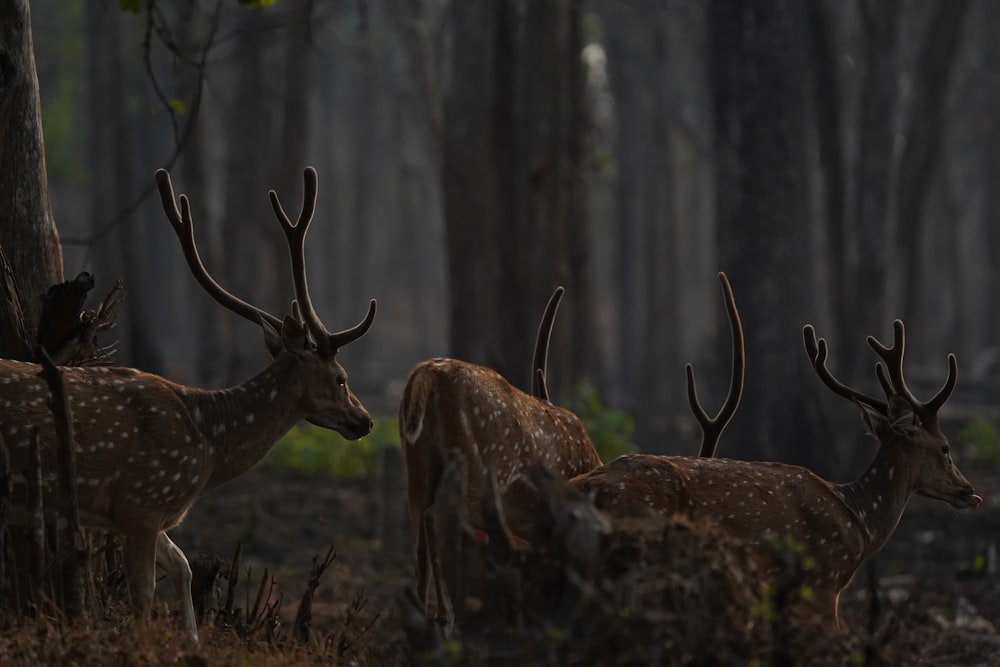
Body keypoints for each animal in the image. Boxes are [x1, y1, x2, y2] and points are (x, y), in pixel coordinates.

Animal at [0, 167, 376, 640]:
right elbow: (144, 597)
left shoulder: (140, 512)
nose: (366, 420)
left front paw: (192, 640)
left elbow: (184, 567)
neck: (205, 448)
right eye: (341, 378)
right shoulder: (142, 498)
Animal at [398, 286, 600, 632]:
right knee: (438, 518)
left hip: (417, 467)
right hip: (480, 468)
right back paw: (444, 616)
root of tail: (426, 375)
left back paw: (421, 618)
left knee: (418, 538)